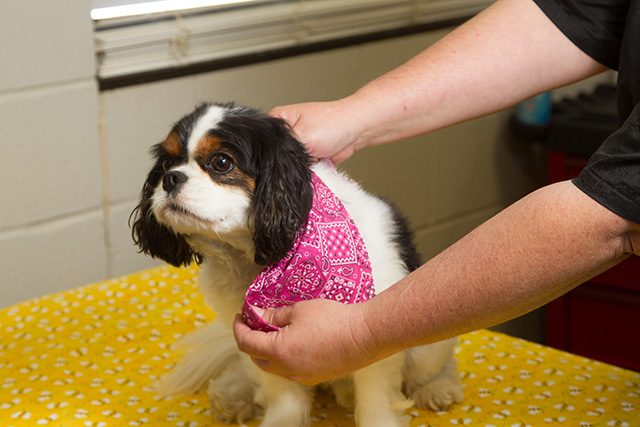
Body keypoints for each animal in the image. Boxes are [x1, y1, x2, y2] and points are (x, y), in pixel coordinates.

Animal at [131, 103, 460, 427]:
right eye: (167, 163)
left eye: (221, 162)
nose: (171, 178)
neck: (254, 260)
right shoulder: (260, 342)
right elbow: (283, 399)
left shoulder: (372, 340)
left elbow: (374, 404)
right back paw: (233, 392)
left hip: (424, 340)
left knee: (433, 363)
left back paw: (436, 387)